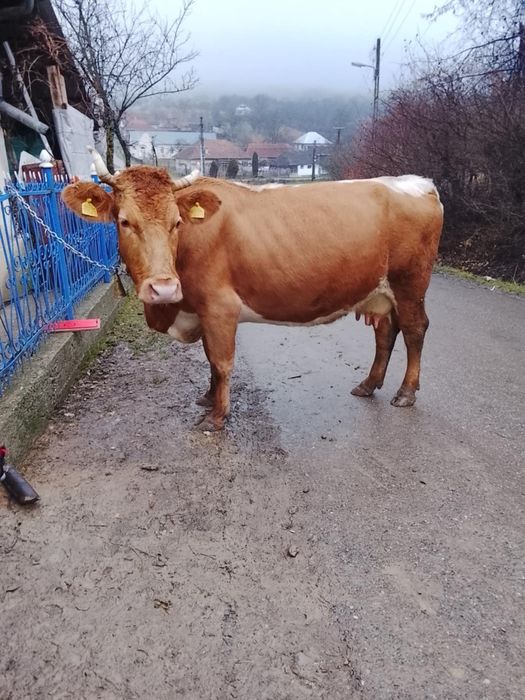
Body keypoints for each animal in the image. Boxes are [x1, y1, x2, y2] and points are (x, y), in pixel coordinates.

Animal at [62, 149, 443, 431]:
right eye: (124, 221)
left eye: (177, 222)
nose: (164, 289)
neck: (172, 312)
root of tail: (417, 182)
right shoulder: (202, 310)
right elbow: (209, 360)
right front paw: (208, 397)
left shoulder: (219, 306)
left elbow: (221, 361)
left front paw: (217, 416)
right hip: (380, 292)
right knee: (386, 332)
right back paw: (368, 384)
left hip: (410, 283)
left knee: (415, 329)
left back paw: (406, 392)